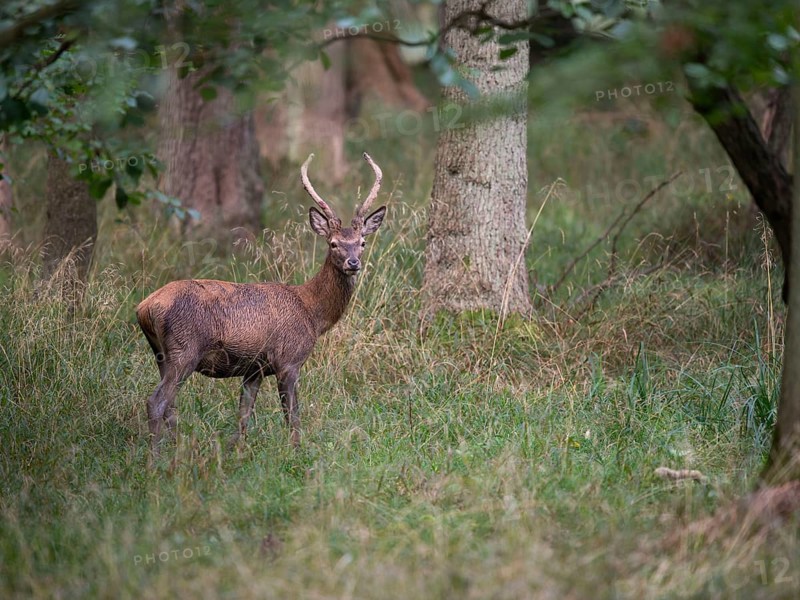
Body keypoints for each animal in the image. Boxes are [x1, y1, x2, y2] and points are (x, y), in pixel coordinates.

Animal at [136, 152, 386, 457]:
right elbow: (292, 415)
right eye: (334, 243)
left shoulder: (253, 368)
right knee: (156, 401)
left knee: (170, 405)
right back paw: (155, 460)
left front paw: (236, 451)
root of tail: (146, 308)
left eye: (362, 242)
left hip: (161, 354)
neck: (312, 312)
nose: (353, 263)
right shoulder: (288, 359)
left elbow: (243, 415)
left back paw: (178, 451)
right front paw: (296, 453)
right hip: (184, 349)